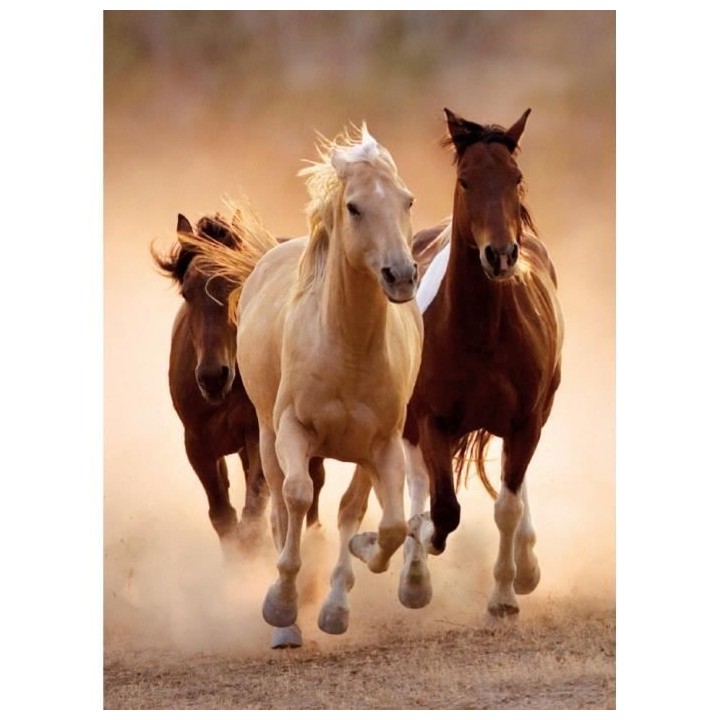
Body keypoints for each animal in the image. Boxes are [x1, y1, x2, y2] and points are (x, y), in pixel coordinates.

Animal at [151, 212, 326, 559]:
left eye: (236, 285)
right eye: (186, 292)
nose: (212, 376)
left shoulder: (258, 436)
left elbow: (253, 513)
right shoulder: (197, 444)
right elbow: (223, 517)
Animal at [186, 125, 423, 647]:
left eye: (407, 200)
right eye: (354, 206)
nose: (401, 275)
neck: (347, 348)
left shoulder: (384, 444)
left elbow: (388, 525)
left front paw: (359, 565)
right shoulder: (292, 431)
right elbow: (295, 498)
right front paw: (281, 605)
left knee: (351, 508)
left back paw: (334, 604)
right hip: (266, 437)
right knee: (279, 506)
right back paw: (288, 623)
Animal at [396, 108, 564, 618]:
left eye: (516, 178)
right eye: (466, 180)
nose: (502, 255)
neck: (482, 331)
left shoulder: (526, 420)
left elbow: (507, 505)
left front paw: (506, 594)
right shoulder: (432, 420)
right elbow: (443, 509)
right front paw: (422, 548)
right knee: (416, 481)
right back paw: (413, 574)